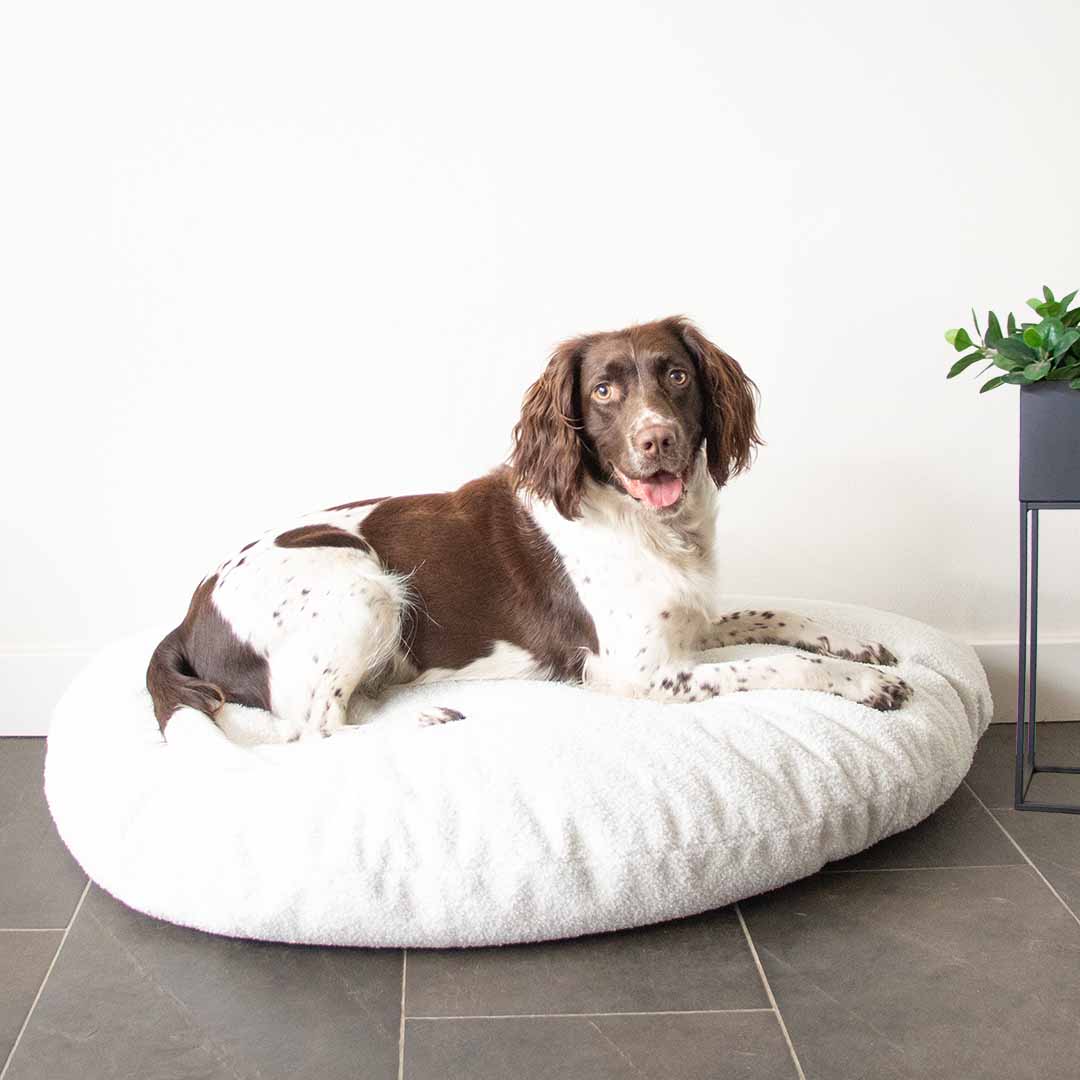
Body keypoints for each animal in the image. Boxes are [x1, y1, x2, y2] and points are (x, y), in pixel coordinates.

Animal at [145, 313, 911, 734]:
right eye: (602, 391)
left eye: (677, 376)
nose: (657, 440)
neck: (651, 527)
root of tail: (187, 615)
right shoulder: (639, 671)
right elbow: (783, 662)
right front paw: (866, 686)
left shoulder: (687, 627)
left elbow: (778, 617)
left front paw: (857, 645)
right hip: (364, 586)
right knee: (314, 727)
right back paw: (420, 724)